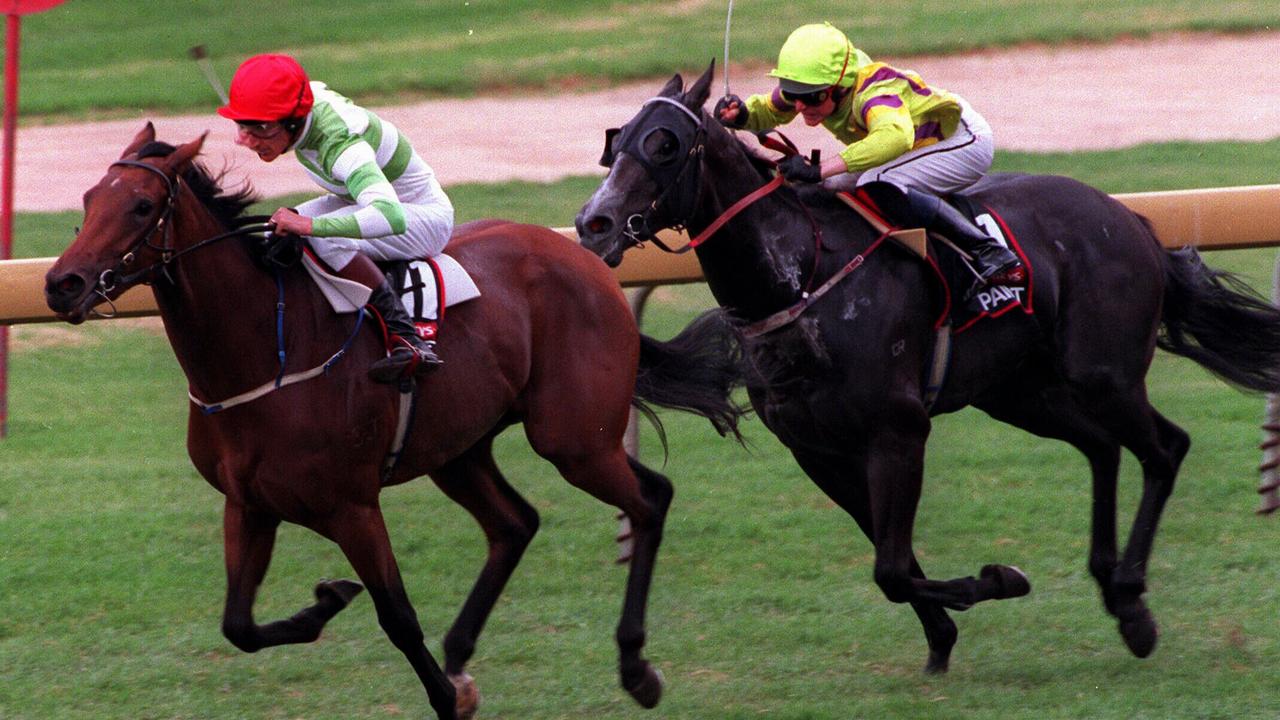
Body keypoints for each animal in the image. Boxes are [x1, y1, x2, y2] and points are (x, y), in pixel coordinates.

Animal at [45, 124, 747, 717]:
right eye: (88, 198)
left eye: (141, 207)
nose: (61, 283)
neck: (264, 354)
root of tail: (588, 259)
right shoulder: (248, 504)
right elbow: (237, 625)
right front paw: (328, 602)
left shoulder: (351, 506)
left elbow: (397, 616)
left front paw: (444, 696)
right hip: (461, 449)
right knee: (516, 524)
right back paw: (462, 656)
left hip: (575, 439)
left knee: (650, 499)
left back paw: (635, 668)